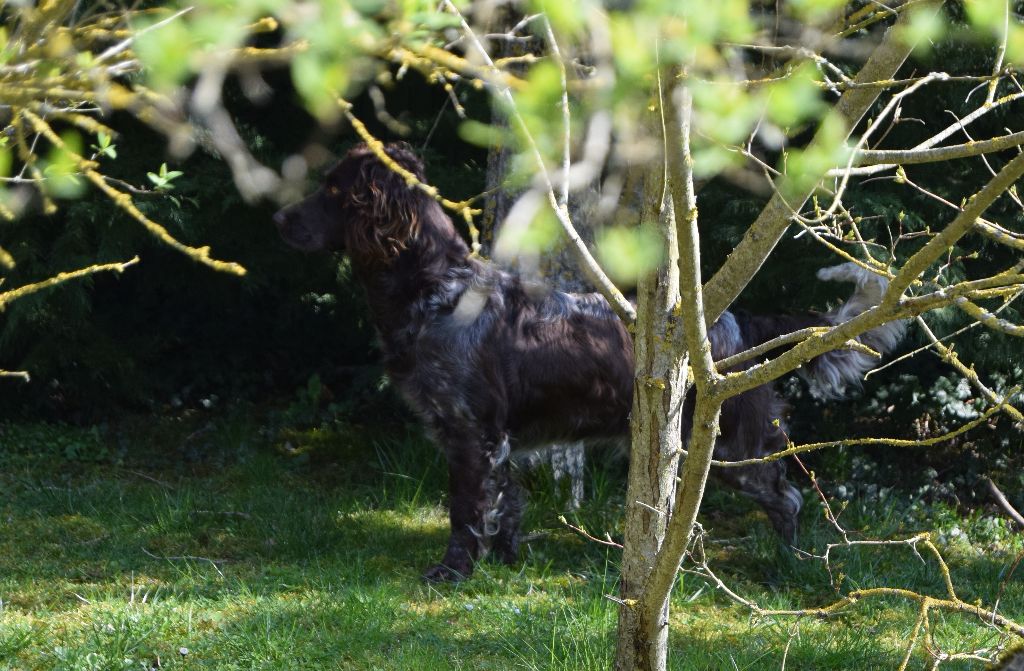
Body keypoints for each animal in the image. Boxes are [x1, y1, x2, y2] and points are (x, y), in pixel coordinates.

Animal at [274, 142, 905, 581]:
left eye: (333, 190)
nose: (279, 219)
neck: (438, 289)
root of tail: (738, 324)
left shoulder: (470, 432)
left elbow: (466, 512)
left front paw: (453, 572)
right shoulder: (498, 438)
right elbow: (507, 505)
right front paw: (506, 561)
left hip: (734, 449)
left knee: (788, 499)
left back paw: (788, 563)